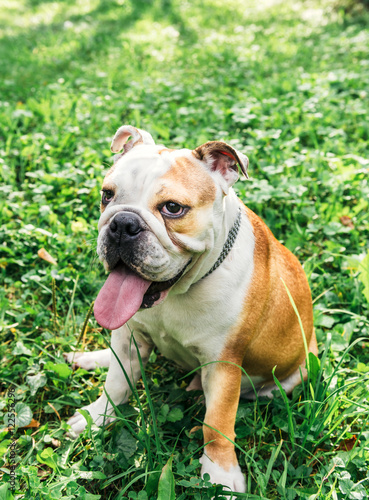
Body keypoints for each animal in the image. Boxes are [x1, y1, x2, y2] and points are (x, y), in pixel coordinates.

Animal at [64, 124, 316, 492]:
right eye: (107, 195)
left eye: (173, 208)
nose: (122, 224)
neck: (176, 294)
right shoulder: (129, 339)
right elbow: (116, 384)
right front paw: (97, 416)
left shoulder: (223, 365)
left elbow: (218, 423)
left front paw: (221, 474)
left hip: (294, 372)